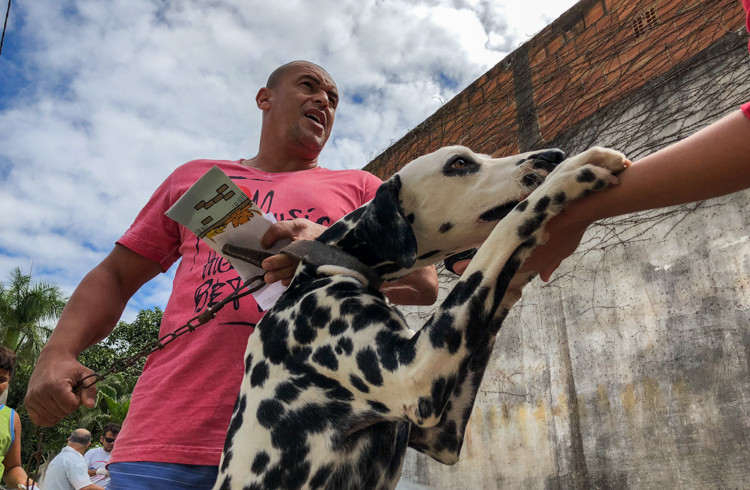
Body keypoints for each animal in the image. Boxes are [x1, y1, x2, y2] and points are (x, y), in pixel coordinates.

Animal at [216, 145, 628, 490]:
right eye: (458, 163)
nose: (553, 154)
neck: (330, 265)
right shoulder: (415, 372)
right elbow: (508, 226)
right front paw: (570, 174)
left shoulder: (442, 433)